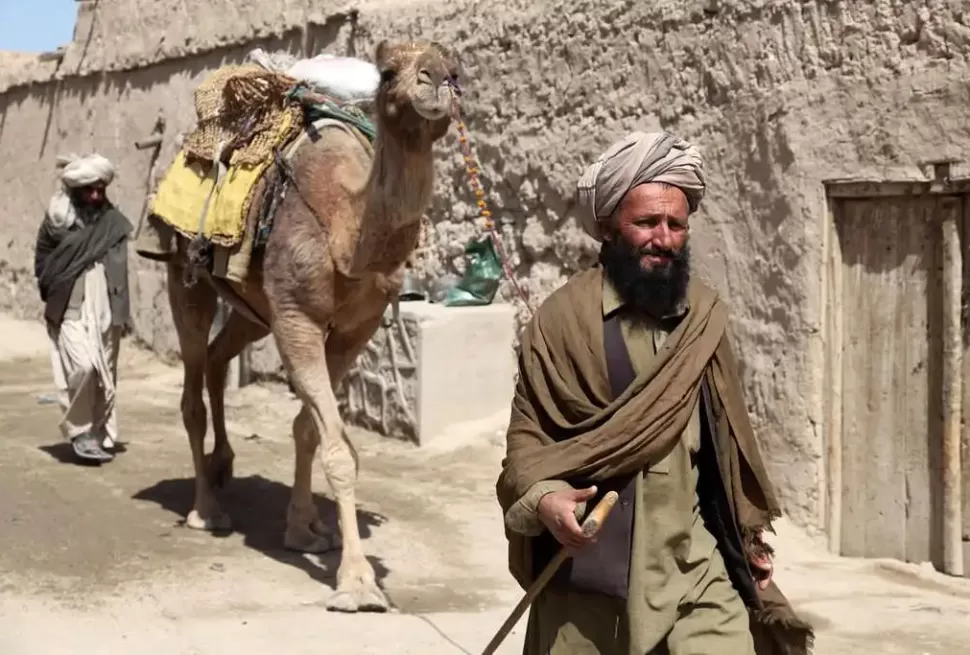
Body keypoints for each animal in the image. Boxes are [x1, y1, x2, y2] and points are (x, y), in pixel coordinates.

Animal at [146, 40, 460, 612]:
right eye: (387, 73)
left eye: (456, 70)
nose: (436, 81)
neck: (344, 229)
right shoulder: (296, 318)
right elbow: (337, 447)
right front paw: (356, 583)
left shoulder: (355, 329)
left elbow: (310, 430)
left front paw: (306, 529)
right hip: (186, 274)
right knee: (192, 387)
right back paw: (207, 509)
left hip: (252, 306)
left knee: (220, 359)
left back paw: (224, 465)